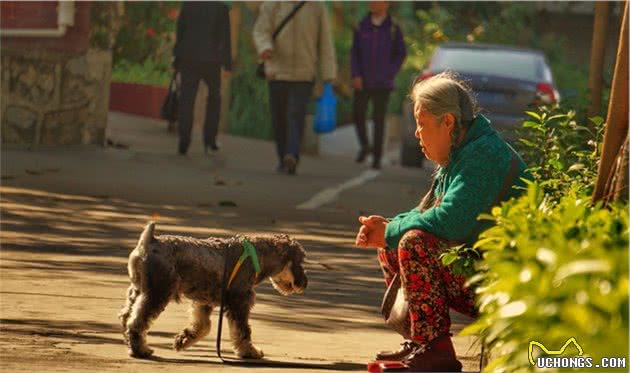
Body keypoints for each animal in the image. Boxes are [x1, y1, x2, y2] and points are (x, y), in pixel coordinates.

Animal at [118, 222, 308, 358]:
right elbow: (242, 330)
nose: (304, 283)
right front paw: (250, 351)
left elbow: (202, 326)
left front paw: (184, 339)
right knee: (136, 322)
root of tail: (148, 242)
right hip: (158, 292)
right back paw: (140, 350)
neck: (256, 255)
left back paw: (131, 344)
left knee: (126, 316)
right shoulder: (240, 301)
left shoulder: (203, 302)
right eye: (300, 260)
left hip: (137, 290)